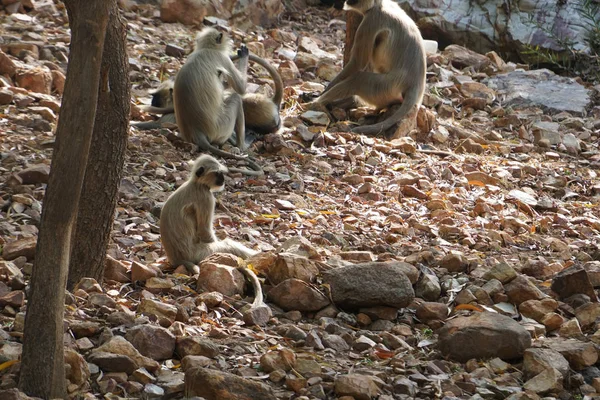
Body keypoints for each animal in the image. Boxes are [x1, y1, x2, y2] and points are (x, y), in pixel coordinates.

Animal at [159, 153, 272, 324]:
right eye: (218, 174)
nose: (223, 179)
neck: (196, 183)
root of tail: (177, 259)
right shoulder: (206, 197)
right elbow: (206, 233)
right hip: (200, 253)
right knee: (228, 245)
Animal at [172, 28, 264, 177]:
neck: (206, 49)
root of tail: (197, 131)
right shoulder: (223, 58)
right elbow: (241, 88)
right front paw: (243, 55)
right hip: (221, 127)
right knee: (236, 99)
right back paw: (242, 146)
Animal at [310, 0, 426, 138]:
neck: (378, 5)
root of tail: (415, 85)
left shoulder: (371, 20)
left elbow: (358, 63)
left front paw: (323, 91)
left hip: (387, 87)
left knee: (357, 79)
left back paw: (317, 102)